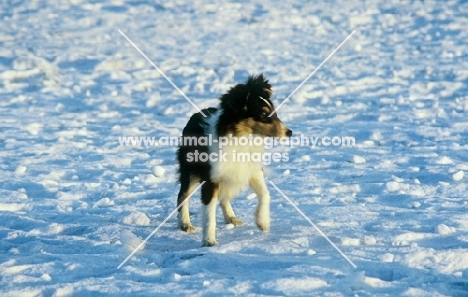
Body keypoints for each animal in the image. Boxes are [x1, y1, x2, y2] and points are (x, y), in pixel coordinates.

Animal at [176, 74, 290, 245]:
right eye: (264, 114)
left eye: (274, 112)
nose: (290, 133)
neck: (242, 139)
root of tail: (196, 114)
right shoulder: (212, 179)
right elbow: (209, 213)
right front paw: (209, 241)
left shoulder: (252, 169)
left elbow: (265, 193)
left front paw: (262, 222)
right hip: (190, 172)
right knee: (183, 195)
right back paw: (185, 224)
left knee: (224, 197)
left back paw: (232, 218)